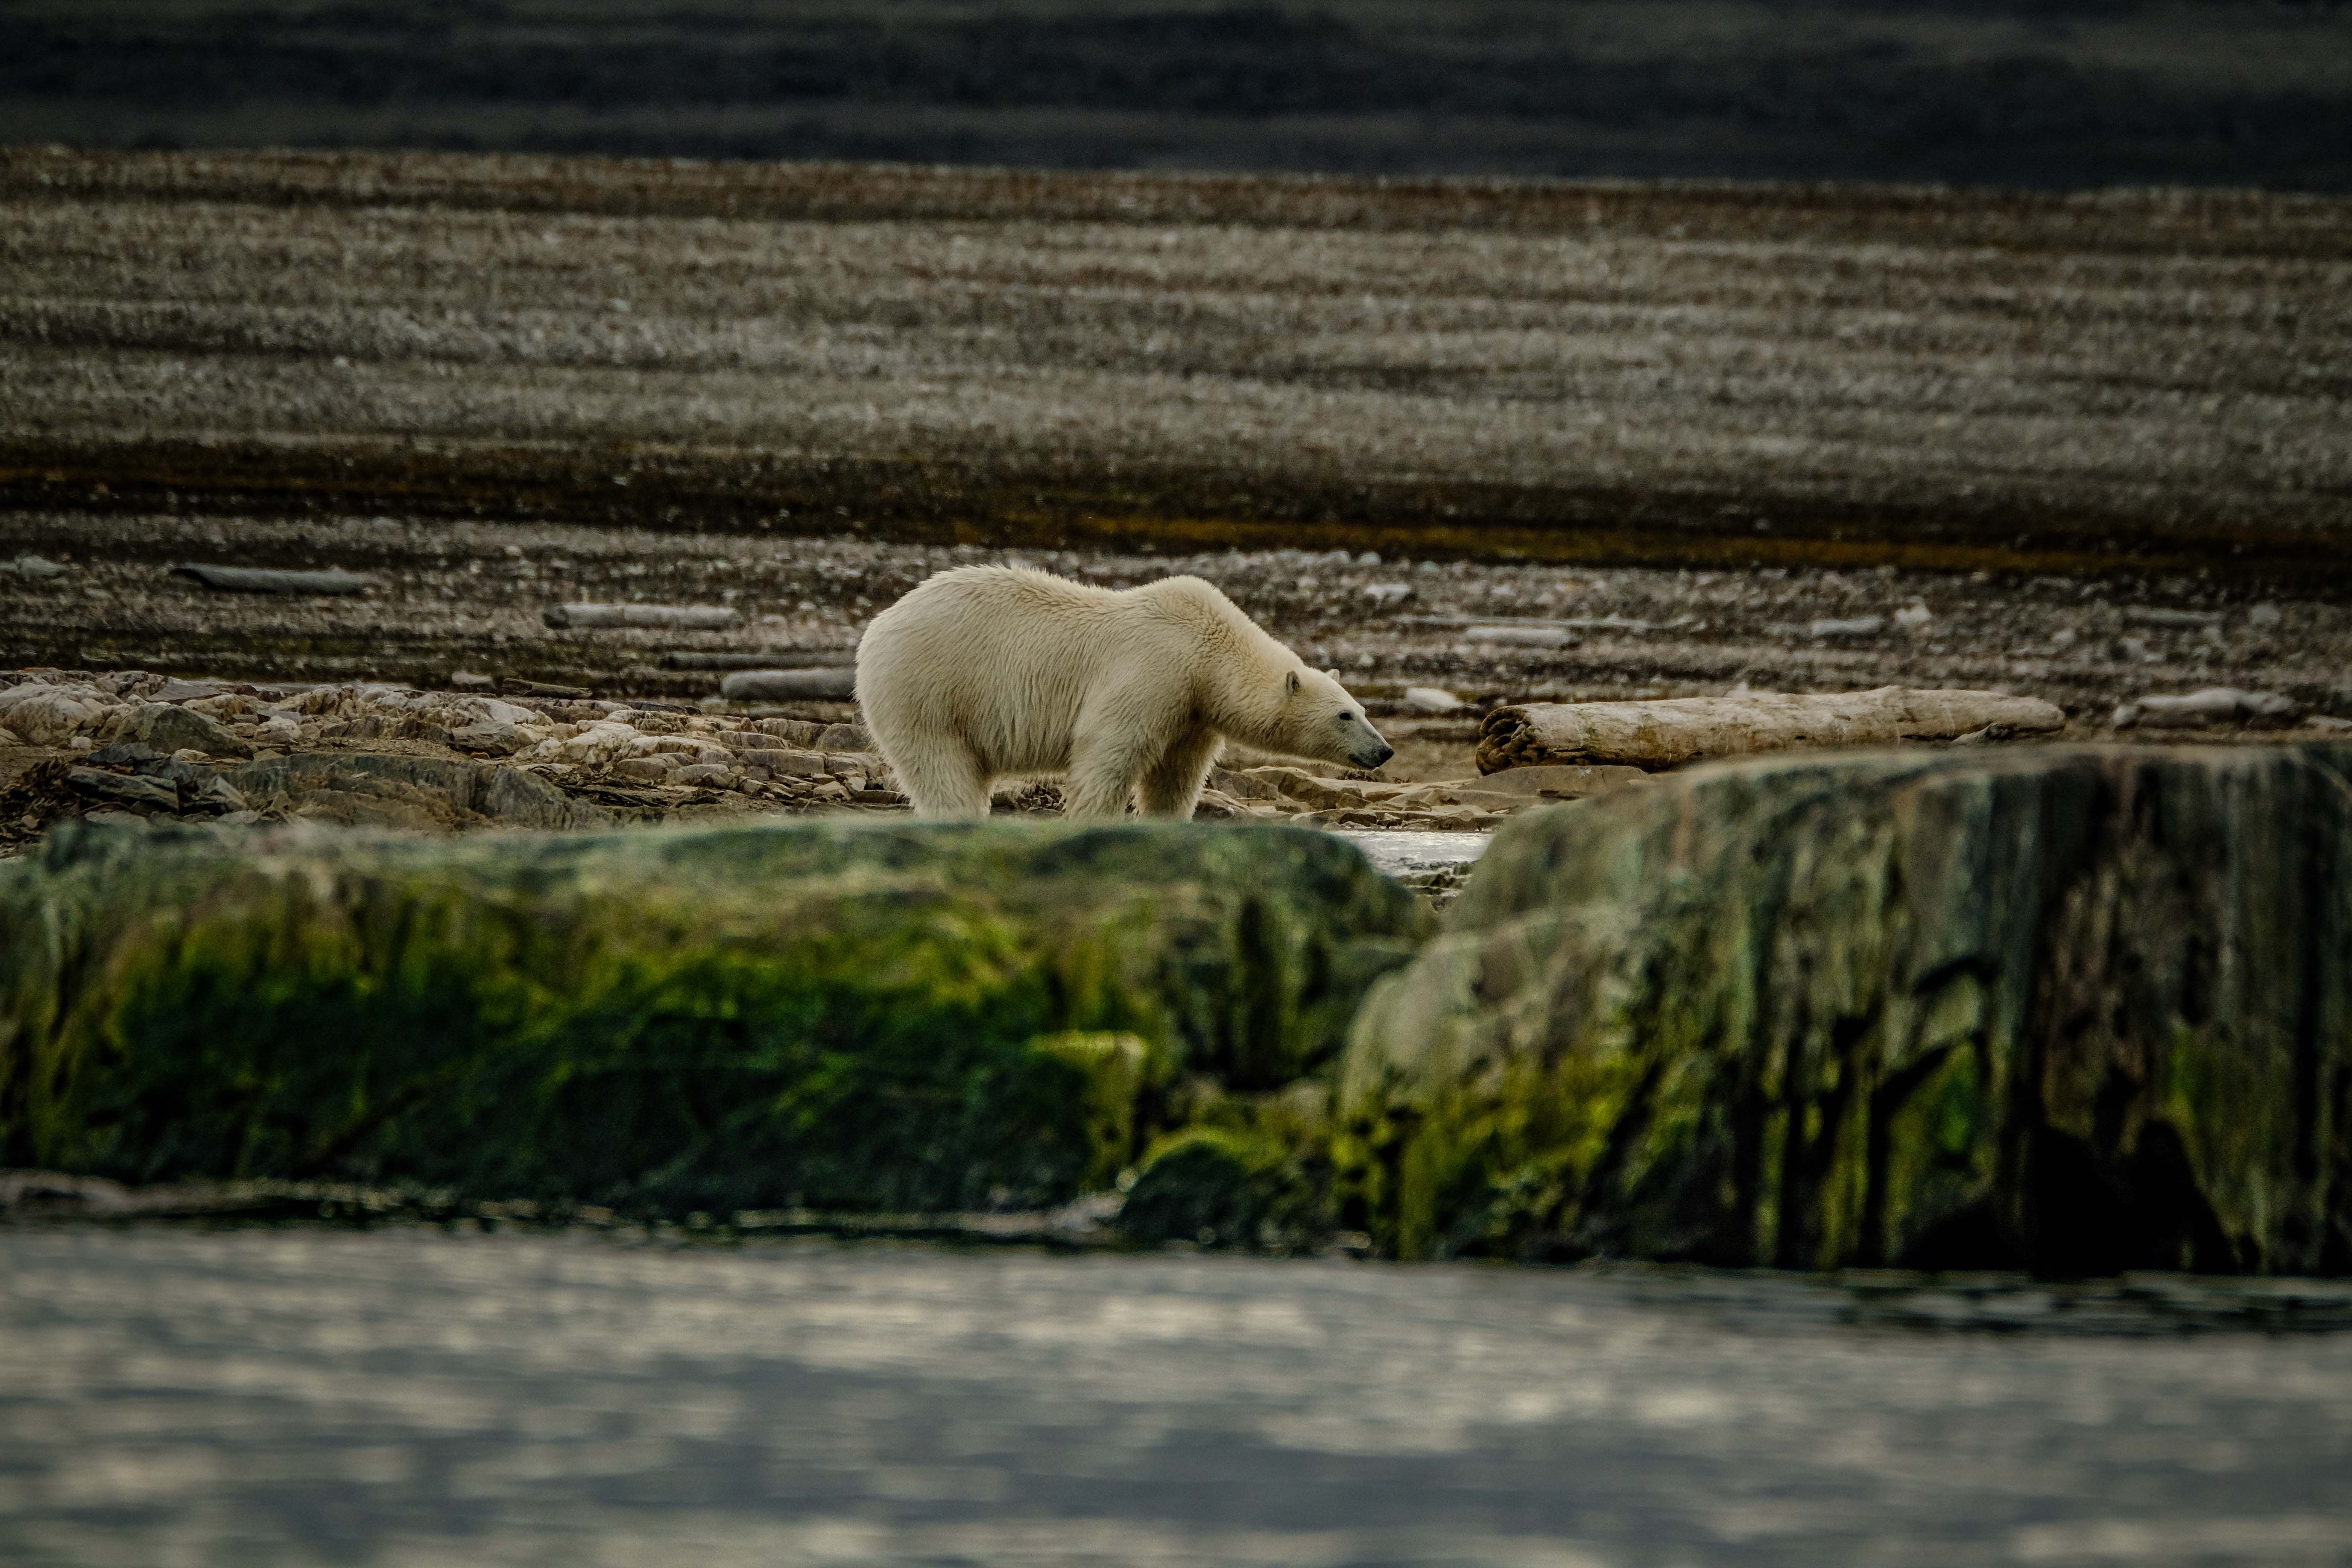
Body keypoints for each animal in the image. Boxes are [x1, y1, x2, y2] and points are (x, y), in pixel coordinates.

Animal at [855, 564, 1393, 819]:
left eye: (1362, 708)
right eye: (1345, 715)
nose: (1384, 750)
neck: (1208, 651)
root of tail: (878, 627)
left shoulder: (1193, 711)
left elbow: (1175, 776)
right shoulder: (1153, 673)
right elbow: (1109, 751)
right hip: (930, 690)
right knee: (943, 769)